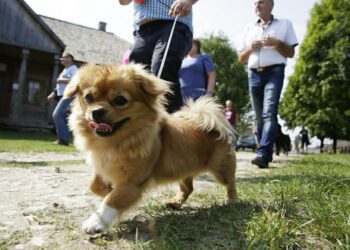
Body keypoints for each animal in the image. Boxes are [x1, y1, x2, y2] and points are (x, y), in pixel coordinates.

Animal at [64, 63, 237, 234]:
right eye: (89, 98)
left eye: (120, 100)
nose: (97, 111)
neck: (115, 142)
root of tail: (213, 128)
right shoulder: (103, 166)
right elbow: (94, 186)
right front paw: (107, 190)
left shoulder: (132, 182)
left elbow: (113, 200)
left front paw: (96, 222)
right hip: (183, 169)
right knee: (188, 188)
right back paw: (176, 202)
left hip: (220, 169)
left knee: (230, 183)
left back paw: (232, 201)